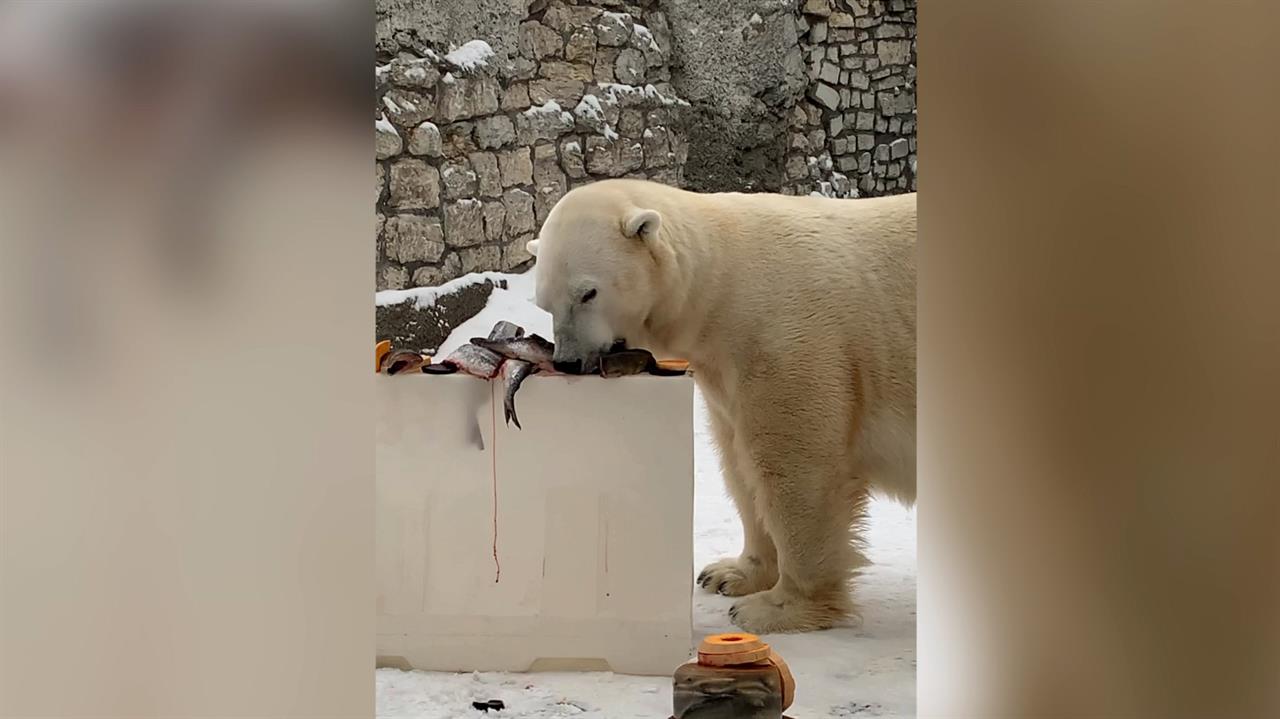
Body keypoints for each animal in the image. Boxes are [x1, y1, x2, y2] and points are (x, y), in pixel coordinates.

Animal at [524, 179, 916, 632]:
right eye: (544, 303)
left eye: (588, 292)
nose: (568, 361)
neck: (722, 288)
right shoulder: (725, 370)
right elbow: (739, 463)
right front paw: (730, 574)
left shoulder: (788, 339)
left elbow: (796, 467)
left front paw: (776, 608)